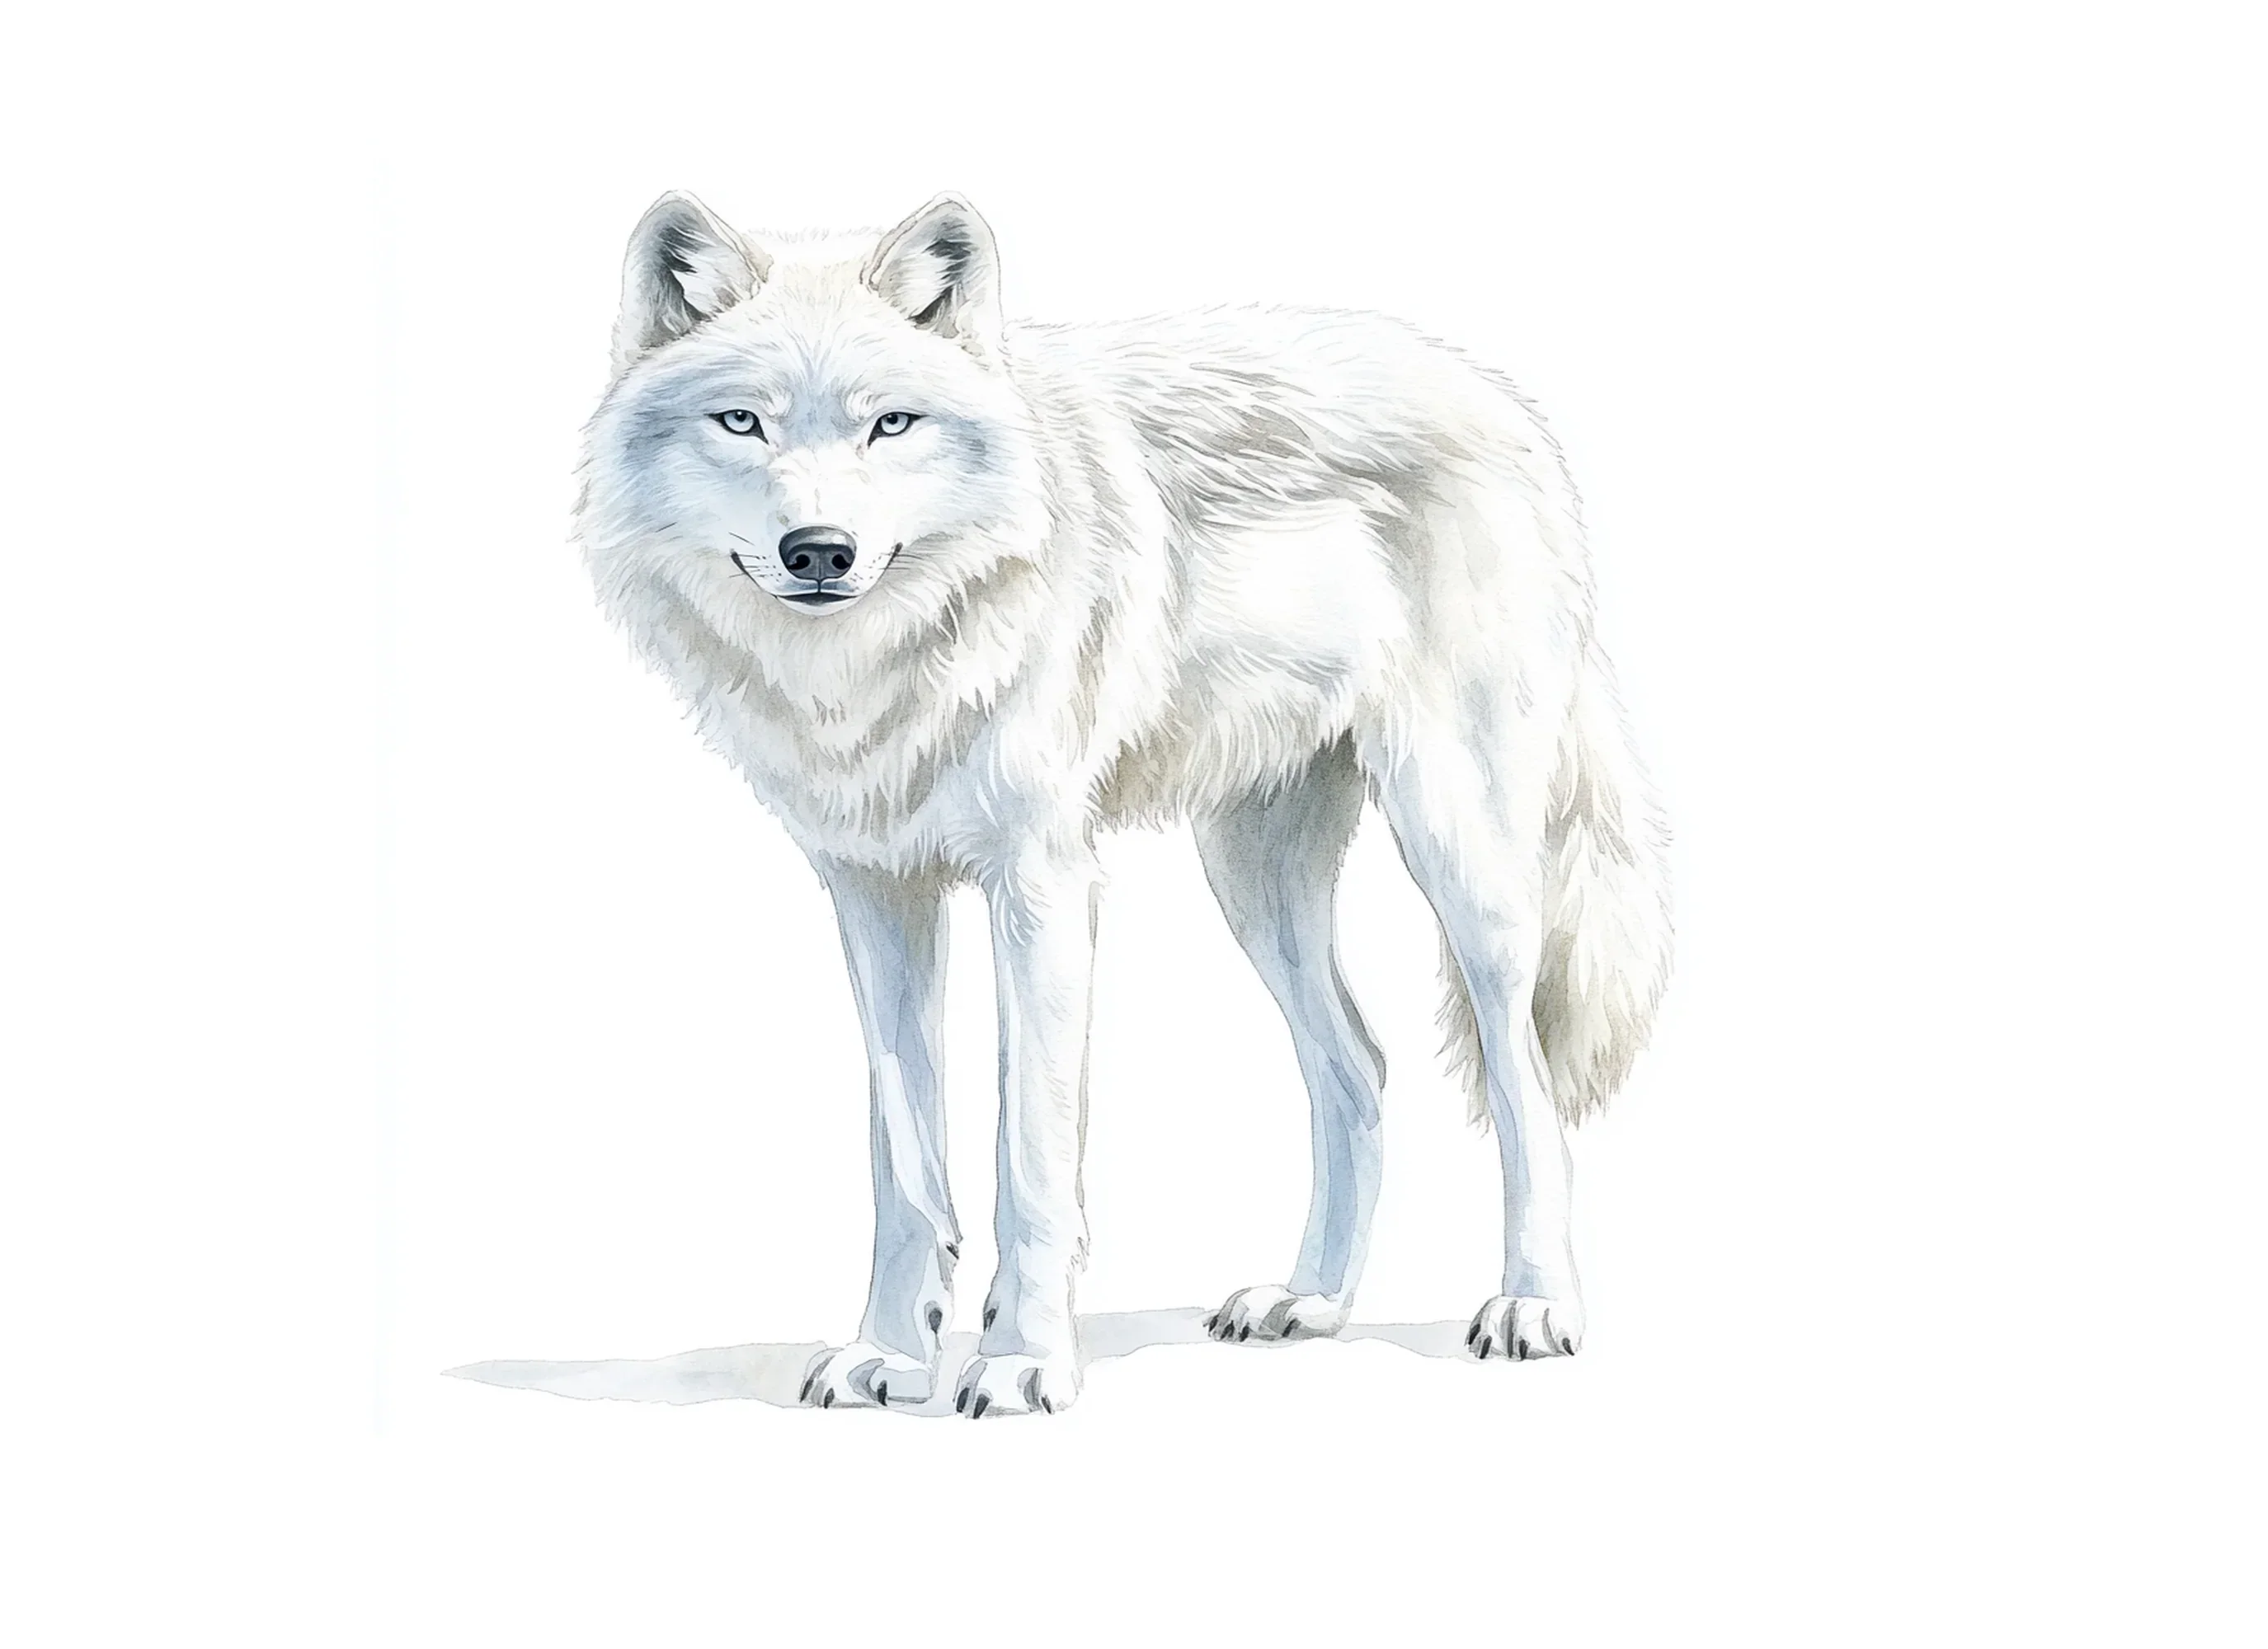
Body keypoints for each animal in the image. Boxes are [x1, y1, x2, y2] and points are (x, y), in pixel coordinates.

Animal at [574, 191, 1671, 1417]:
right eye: (741, 423)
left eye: (891, 425)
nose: (819, 551)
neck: (883, 661)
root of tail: (1498, 398)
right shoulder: (875, 893)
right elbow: (904, 1162)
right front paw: (890, 1356)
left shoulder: (1041, 884)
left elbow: (1030, 1159)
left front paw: (1019, 1361)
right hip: (1252, 881)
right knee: (1358, 1067)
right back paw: (1310, 1300)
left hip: (1460, 855)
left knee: (1523, 1081)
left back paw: (1535, 1304)